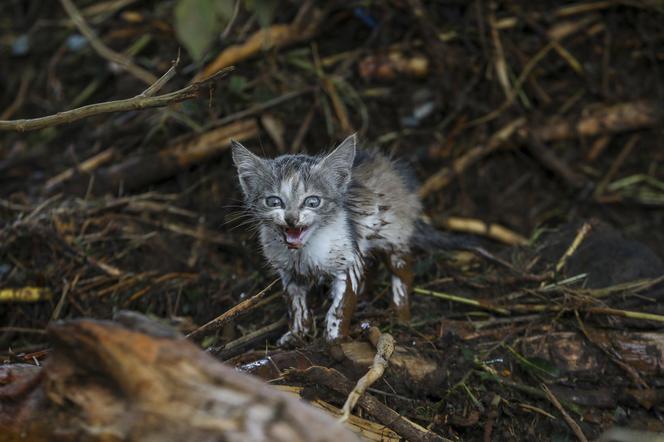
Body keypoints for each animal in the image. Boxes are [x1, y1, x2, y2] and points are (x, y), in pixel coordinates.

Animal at [232, 135, 420, 346]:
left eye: (312, 202)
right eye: (273, 201)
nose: (291, 218)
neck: (303, 254)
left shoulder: (348, 261)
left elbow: (339, 308)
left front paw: (333, 340)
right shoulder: (289, 273)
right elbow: (296, 306)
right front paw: (296, 335)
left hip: (393, 237)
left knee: (403, 272)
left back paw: (401, 315)